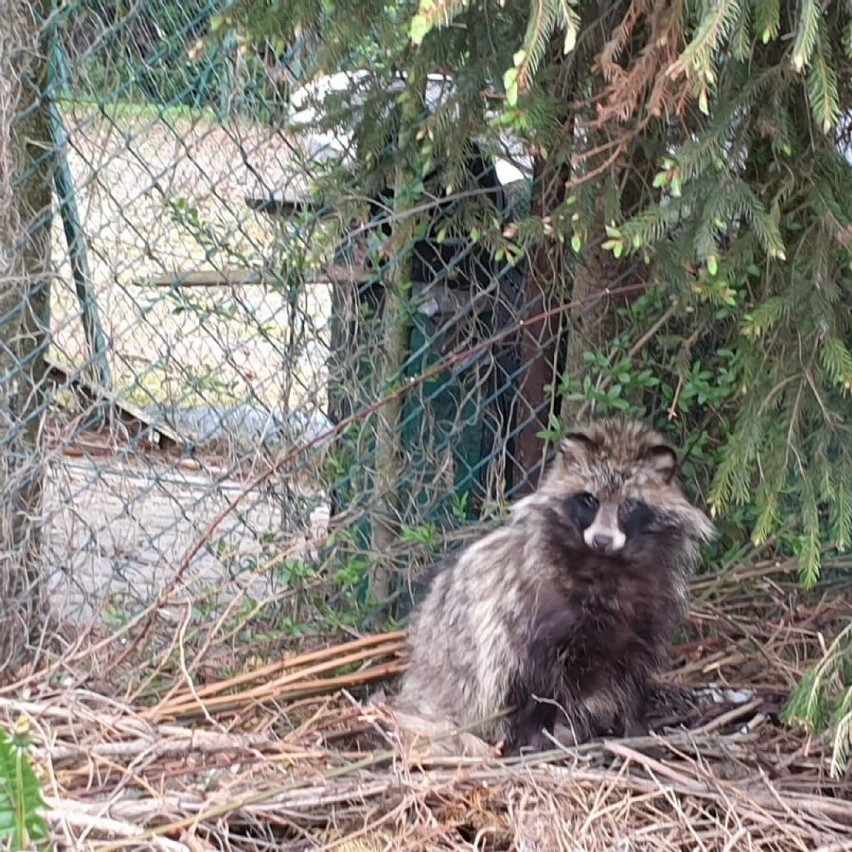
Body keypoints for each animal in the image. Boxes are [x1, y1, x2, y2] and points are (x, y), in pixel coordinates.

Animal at [396, 416, 716, 756]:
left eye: (629, 505)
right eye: (589, 500)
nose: (603, 540)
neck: (608, 564)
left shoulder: (645, 618)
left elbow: (633, 676)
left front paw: (636, 729)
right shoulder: (534, 614)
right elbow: (536, 680)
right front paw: (539, 735)